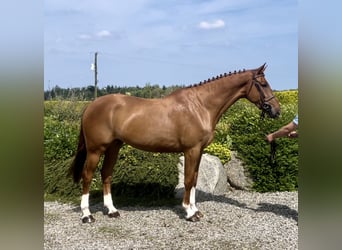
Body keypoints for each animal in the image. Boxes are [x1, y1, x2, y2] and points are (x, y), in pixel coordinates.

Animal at [69, 63, 280, 223]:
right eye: (263, 84)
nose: (276, 110)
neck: (200, 106)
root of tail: (91, 105)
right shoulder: (191, 150)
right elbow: (187, 180)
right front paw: (189, 212)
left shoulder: (199, 151)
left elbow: (194, 179)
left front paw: (195, 210)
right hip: (96, 150)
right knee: (88, 176)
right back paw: (87, 215)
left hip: (114, 146)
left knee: (106, 174)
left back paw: (112, 211)